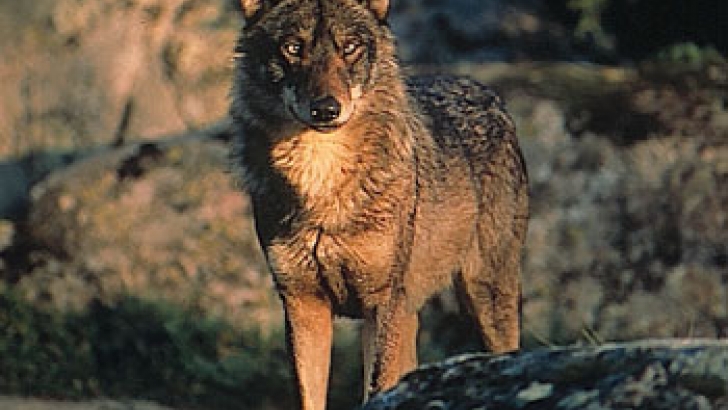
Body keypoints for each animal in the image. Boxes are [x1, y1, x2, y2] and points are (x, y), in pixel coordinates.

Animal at [230, 0, 529, 408]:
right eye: (293, 48)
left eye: (350, 47)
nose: (326, 109)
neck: (323, 184)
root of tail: (484, 89)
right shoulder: (302, 304)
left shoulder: (381, 305)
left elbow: (376, 387)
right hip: (412, 313)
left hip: (485, 296)